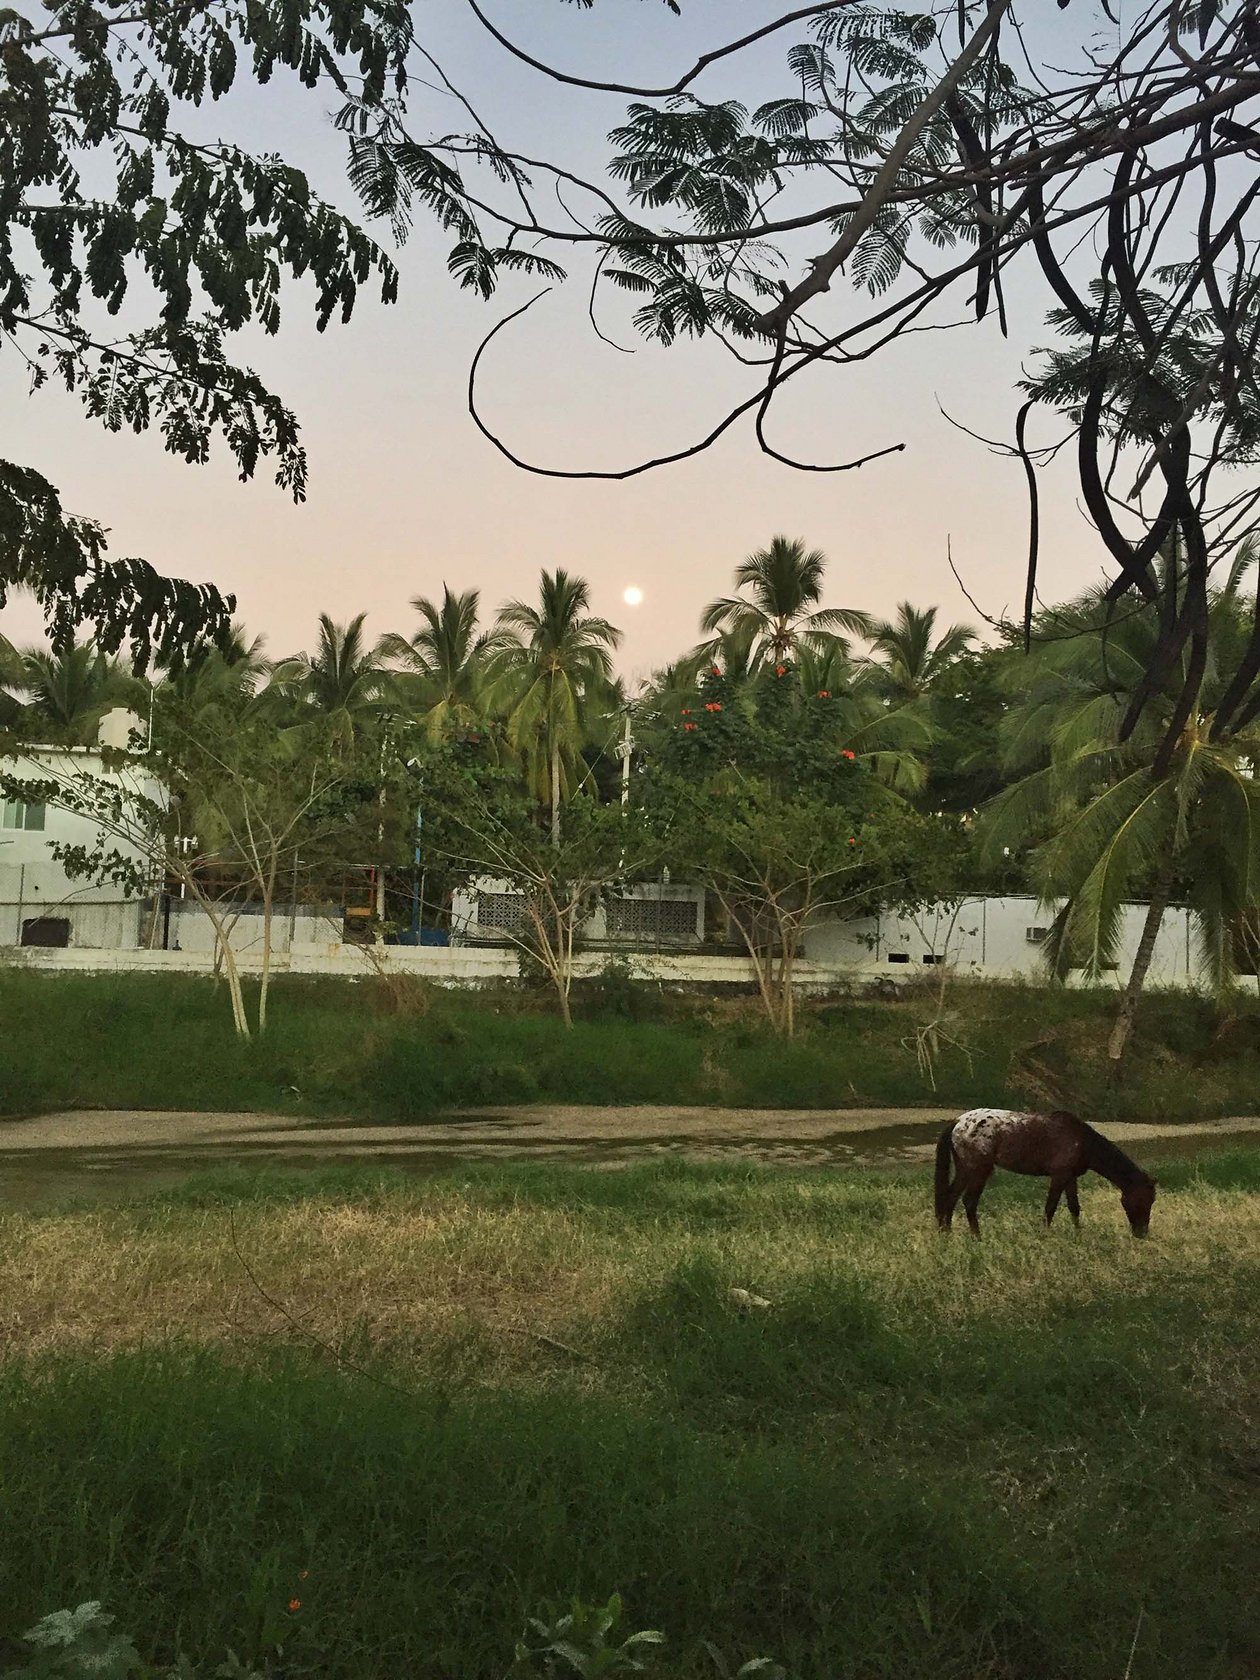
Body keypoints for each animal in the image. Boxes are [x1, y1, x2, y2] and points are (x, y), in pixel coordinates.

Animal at [935, 1108, 1156, 1238]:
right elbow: (1050, 1208)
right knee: (969, 1201)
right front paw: (1045, 1236)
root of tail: (958, 1122)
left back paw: (947, 1235)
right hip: (979, 1170)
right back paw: (977, 1238)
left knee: (950, 1198)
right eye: (1143, 1200)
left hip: (964, 1169)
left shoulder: (1070, 1178)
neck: (1081, 1141)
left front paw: (1078, 1235)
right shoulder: (1059, 1176)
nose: (1142, 1234)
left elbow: (1074, 1207)